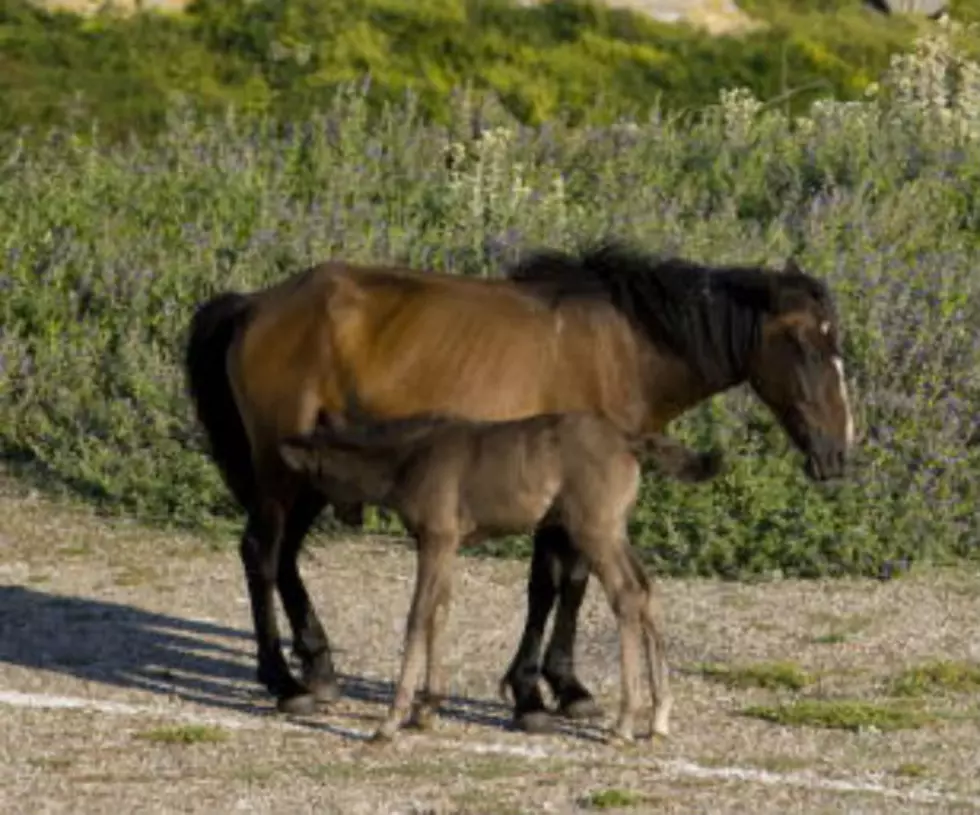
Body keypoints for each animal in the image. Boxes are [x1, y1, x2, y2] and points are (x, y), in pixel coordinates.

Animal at [280, 408, 724, 744]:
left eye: (311, 480)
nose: (346, 516)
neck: (410, 455)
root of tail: (627, 441)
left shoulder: (436, 537)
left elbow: (418, 615)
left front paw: (390, 722)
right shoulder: (446, 543)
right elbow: (440, 611)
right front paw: (427, 709)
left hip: (594, 531)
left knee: (627, 593)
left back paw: (624, 723)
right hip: (613, 532)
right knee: (648, 590)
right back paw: (659, 717)